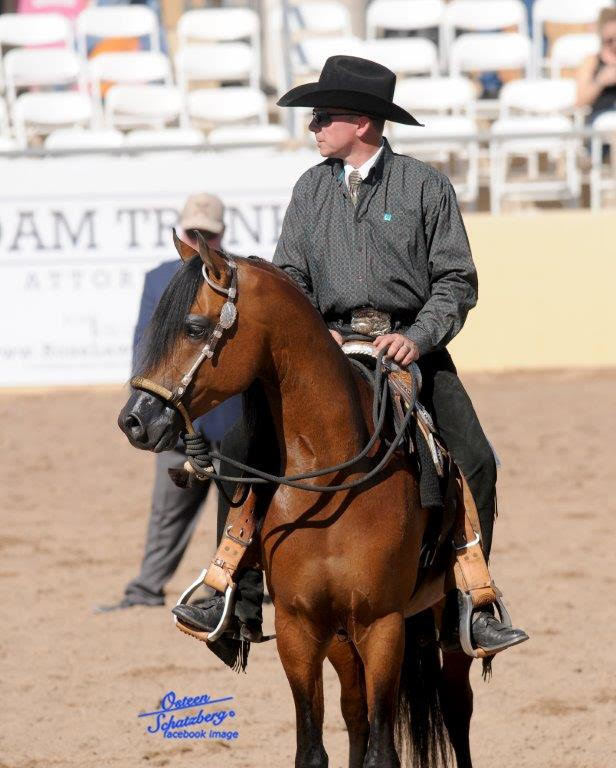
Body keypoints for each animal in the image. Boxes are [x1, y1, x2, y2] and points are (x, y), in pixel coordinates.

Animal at [118, 235, 476, 768]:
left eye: (194, 327)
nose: (134, 420)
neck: (335, 479)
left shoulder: (382, 625)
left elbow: (383, 751)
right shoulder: (299, 627)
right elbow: (314, 746)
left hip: (439, 626)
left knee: (456, 711)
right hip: (341, 637)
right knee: (355, 713)